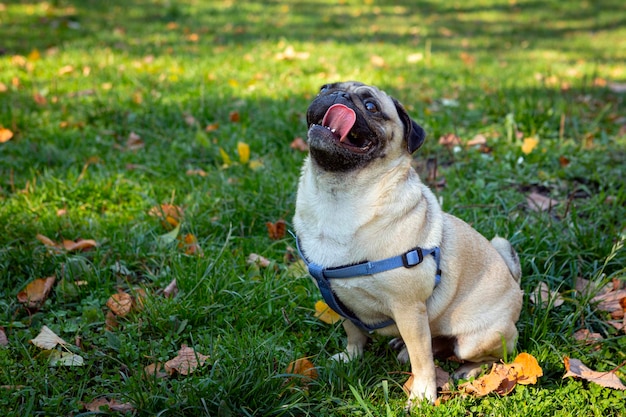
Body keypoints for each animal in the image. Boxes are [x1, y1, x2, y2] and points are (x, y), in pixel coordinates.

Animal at [292, 80, 520, 406]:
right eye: (324, 88)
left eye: (371, 106)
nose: (337, 95)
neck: (340, 198)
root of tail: (517, 286)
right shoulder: (340, 300)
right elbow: (353, 332)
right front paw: (351, 357)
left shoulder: (409, 309)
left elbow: (421, 359)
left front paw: (423, 393)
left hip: (476, 339)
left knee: (492, 356)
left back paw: (469, 371)